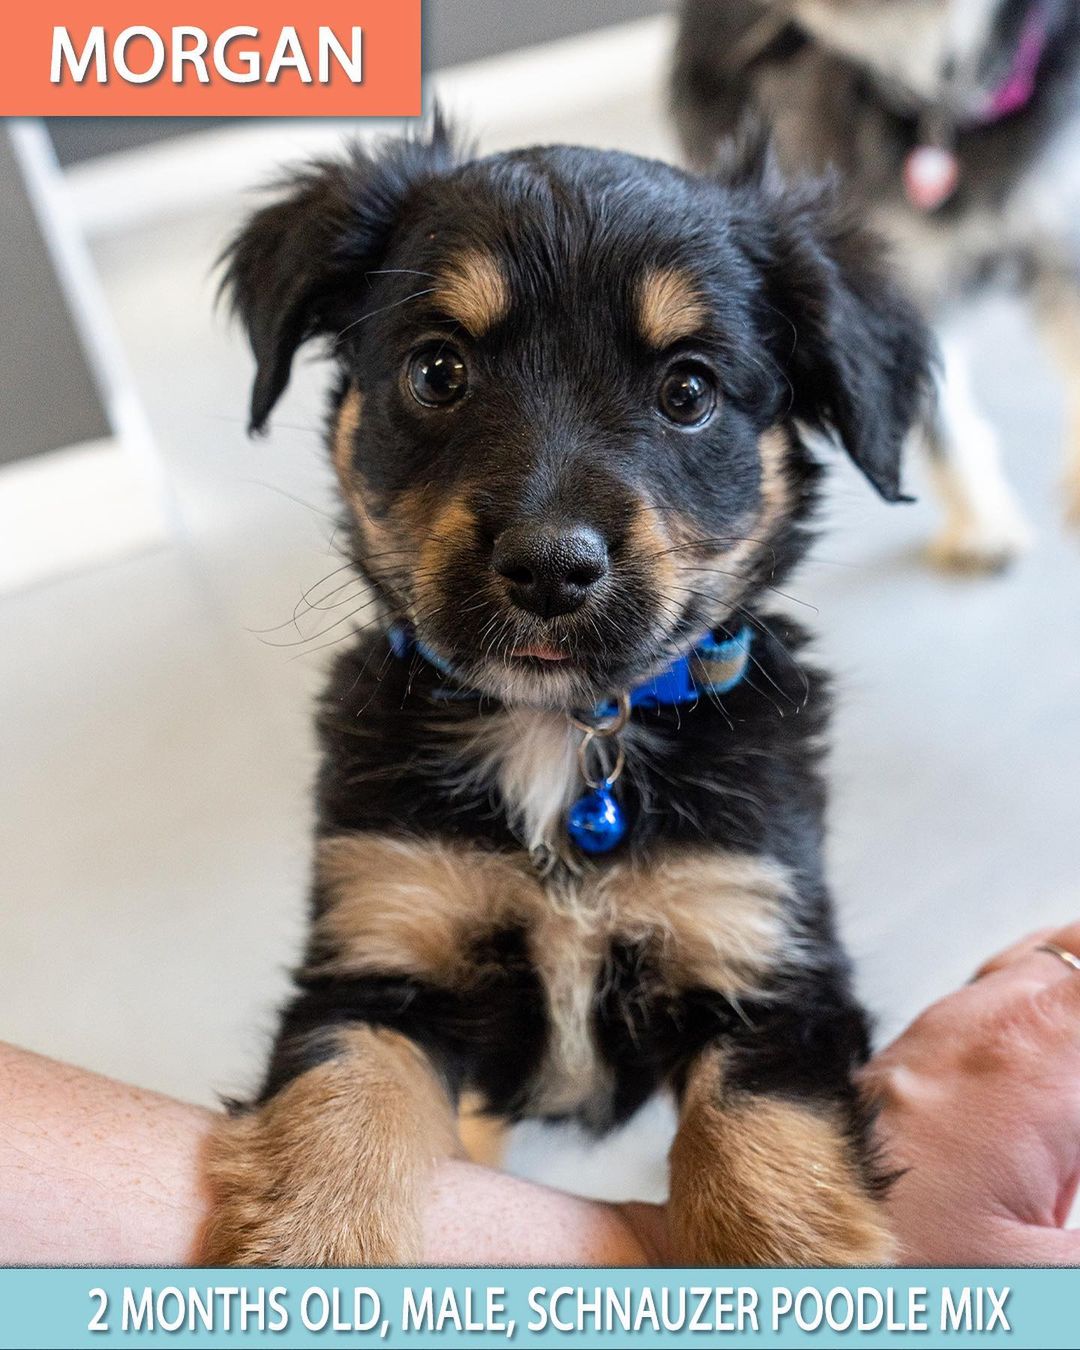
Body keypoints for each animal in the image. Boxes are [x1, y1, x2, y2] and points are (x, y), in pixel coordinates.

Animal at [202, 118, 928, 1263]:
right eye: (438, 369)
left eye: (689, 391)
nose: (549, 567)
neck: (562, 733)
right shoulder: (379, 952)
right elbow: (338, 1108)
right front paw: (306, 1251)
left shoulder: (768, 965)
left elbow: (764, 1157)